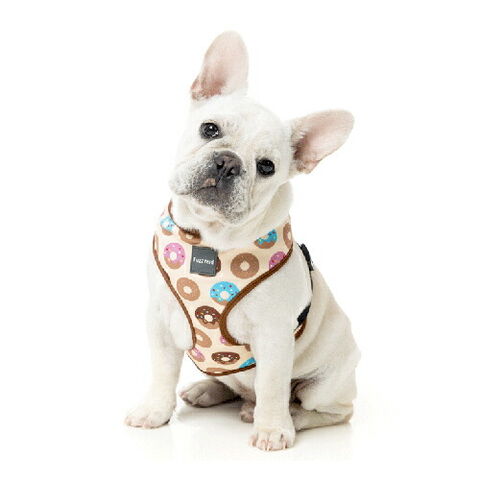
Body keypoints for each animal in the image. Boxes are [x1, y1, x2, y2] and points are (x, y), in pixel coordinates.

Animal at [125, 31, 360, 451]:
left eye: (267, 166)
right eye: (210, 129)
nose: (228, 162)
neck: (211, 239)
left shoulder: (274, 334)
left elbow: (271, 386)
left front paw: (272, 428)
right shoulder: (159, 320)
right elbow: (162, 371)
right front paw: (155, 410)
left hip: (328, 381)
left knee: (326, 409)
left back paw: (288, 417)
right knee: (235, 386)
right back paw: (207, 389)